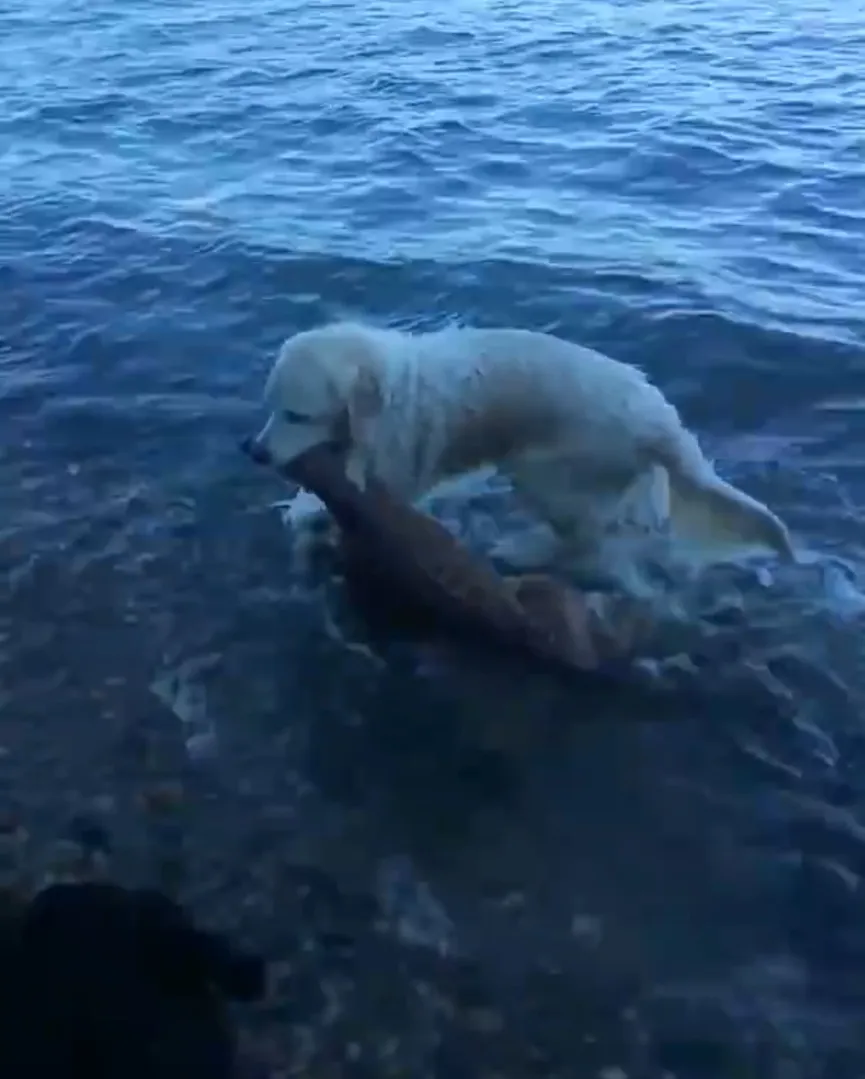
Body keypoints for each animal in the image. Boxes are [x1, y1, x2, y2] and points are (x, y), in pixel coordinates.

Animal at [248, 321, 789, 591]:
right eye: (271, 408)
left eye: (296, 414)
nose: (253, 451)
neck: (387, 396)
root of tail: (665, 425)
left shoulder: (398, 477)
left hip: (544, 473)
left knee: (587, 543)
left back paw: (524, 551)